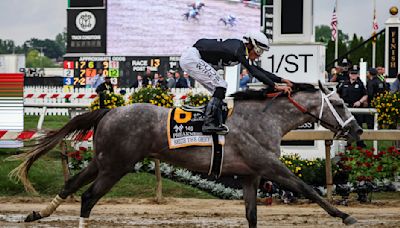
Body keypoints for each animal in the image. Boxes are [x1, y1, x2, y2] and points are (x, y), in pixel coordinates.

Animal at [10, 82, 362, 228]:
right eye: (339, 103)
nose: (357, 129)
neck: (264, 118)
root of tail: (109, 111)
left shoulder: (251, 174)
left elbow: (251, 214)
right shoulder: (269, 165)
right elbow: (306, 189)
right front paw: (345, 215)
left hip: (102, 161)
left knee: (71, 186)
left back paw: (37, 214)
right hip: (117, 166)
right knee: (87, 198)